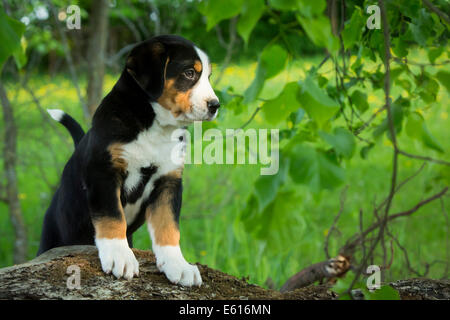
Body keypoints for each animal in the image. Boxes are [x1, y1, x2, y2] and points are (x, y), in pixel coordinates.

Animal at [37, 35, 221, 288]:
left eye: (207, 76)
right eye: (189, 73)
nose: (215, 105)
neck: (154, 128)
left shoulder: (168, 181)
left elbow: (168, 227)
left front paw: (179, 265)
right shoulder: (104, 174)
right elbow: (112, 217)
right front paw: (119, 257)